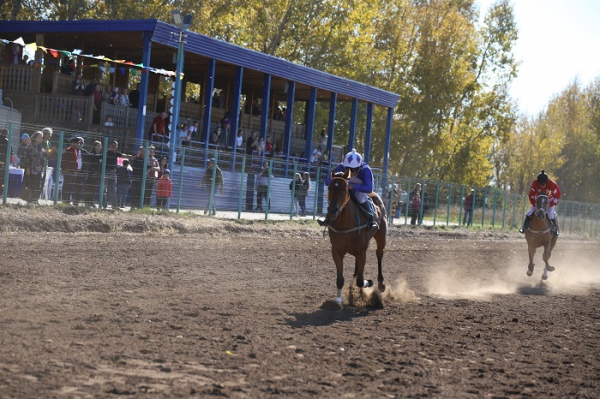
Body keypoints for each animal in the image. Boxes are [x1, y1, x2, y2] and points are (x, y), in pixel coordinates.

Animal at [326, 170, 386, 304]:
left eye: (344, 189)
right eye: (329, 187)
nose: (332, 211)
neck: (345, 223)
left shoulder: (362, 252)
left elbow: (360, 281)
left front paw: (369, 282)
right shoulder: (336, 251)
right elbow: (340, 279)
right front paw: (338, 301)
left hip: (381, 236)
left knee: (379, 254)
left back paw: (380, 284)